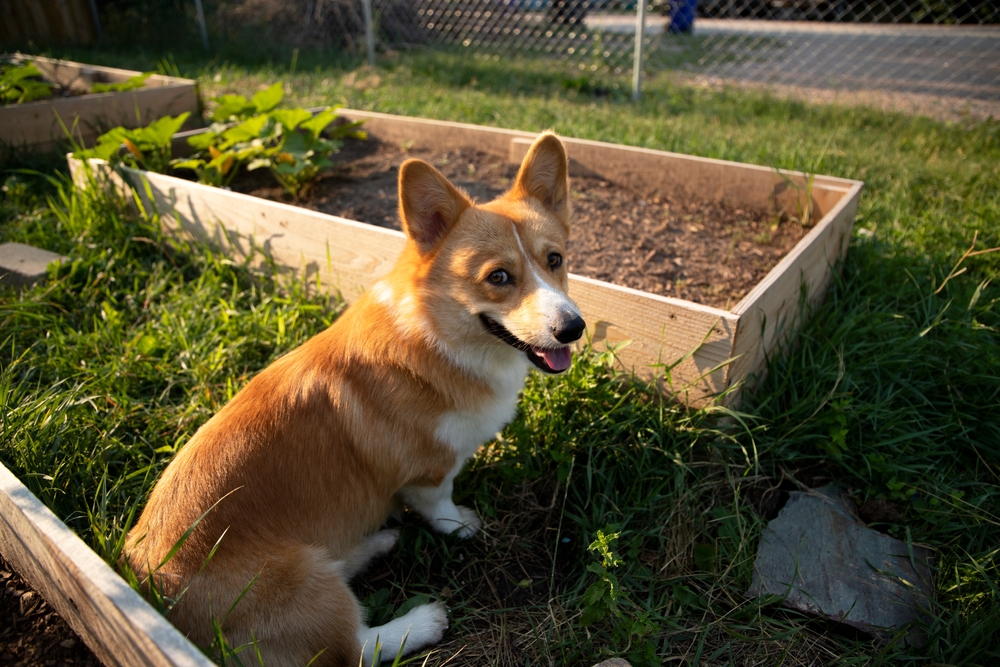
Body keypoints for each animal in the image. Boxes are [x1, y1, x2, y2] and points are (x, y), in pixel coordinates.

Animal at [123, 133, 584, 664]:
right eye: (499, 277)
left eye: (555, 260)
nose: (574, 328)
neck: (437, 337)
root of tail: (154, 596)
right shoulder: (430, 469)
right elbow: (439, 503)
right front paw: (460, 526)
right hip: (307, 581)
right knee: (357, 647)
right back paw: (421, 620)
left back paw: (374, 542)